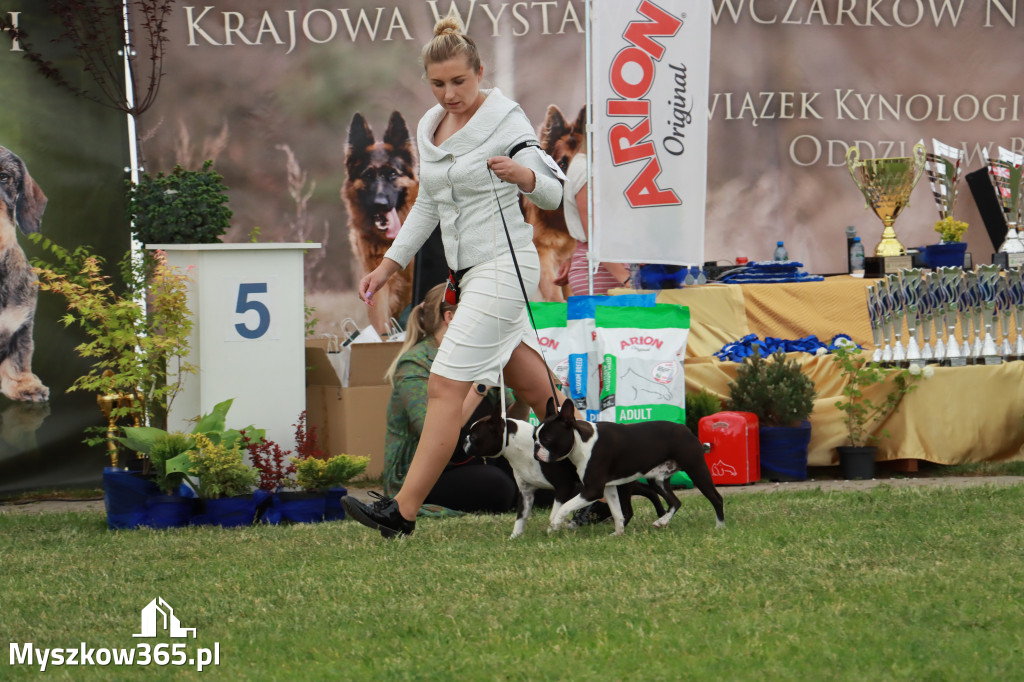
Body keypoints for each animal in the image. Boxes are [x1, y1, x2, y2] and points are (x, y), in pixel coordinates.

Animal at [466, 403, 671, 536]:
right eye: (534, 438)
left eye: (475, 436)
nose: (464, 441)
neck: (519, 448)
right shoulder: (526, 492)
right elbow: (521, 517)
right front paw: (514, 537)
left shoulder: (564, 487)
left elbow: (554, 512)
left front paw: (552, 530)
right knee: (644, 492)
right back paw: (660, 513)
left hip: (620, 483)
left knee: (629, 507)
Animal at [532, 395, 724, 532]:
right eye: (534, 437)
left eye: (547, 439)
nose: (535, 449)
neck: (581, 441)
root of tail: (687, 430)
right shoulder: (609, 488)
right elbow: (618, 512)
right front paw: (618, 533)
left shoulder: (593, 490)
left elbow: (564, 506)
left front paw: (555, 523)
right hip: (658, 479)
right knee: (675, 501)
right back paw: (662, 522)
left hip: (696, 470)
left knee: (716, 498)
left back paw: (719, 526)